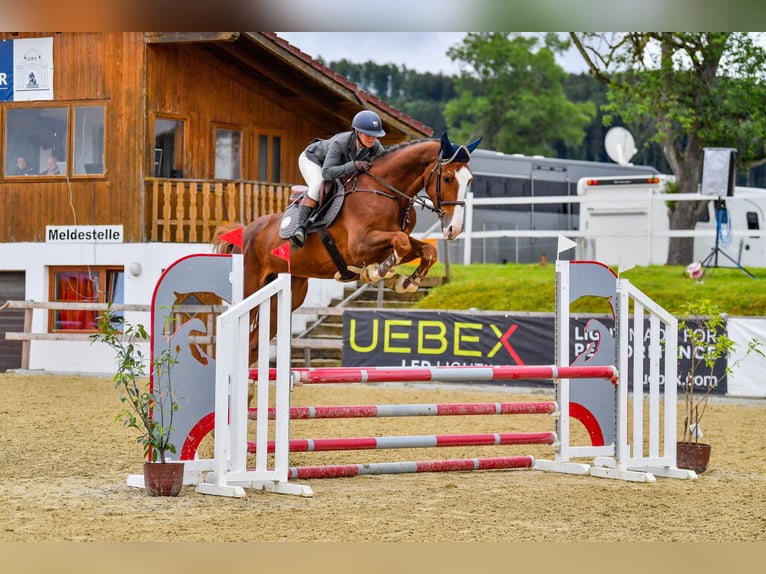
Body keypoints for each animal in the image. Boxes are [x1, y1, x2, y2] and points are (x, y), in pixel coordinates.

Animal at [213, 132, 484, 360]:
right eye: (447, 178)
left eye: (470, 180)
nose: (453, 229)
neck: (384, 190)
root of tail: (245, 232)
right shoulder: (360, 245)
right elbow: (402, 243)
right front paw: (378, 271)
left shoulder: (389, 240)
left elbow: (426, 250)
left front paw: (407, 282)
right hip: (250, 287)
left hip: (289, 292)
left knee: (253, 345)